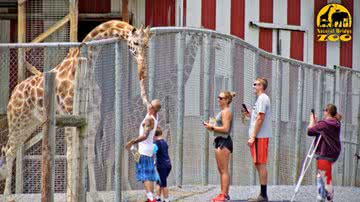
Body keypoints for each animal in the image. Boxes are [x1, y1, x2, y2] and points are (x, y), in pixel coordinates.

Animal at [0, 20, 152, 199]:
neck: (89, 69)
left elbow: (89, 155)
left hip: (30, 123)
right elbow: (71, 155)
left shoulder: (93, 117)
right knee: (9, 150)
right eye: (135, 43)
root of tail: (13, 93)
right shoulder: (70, 114)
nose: (143, 69)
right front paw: (70, 195)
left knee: (13, 150)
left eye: (147, 45)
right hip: (17, 120)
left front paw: (94, 195)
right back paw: (8, 195)